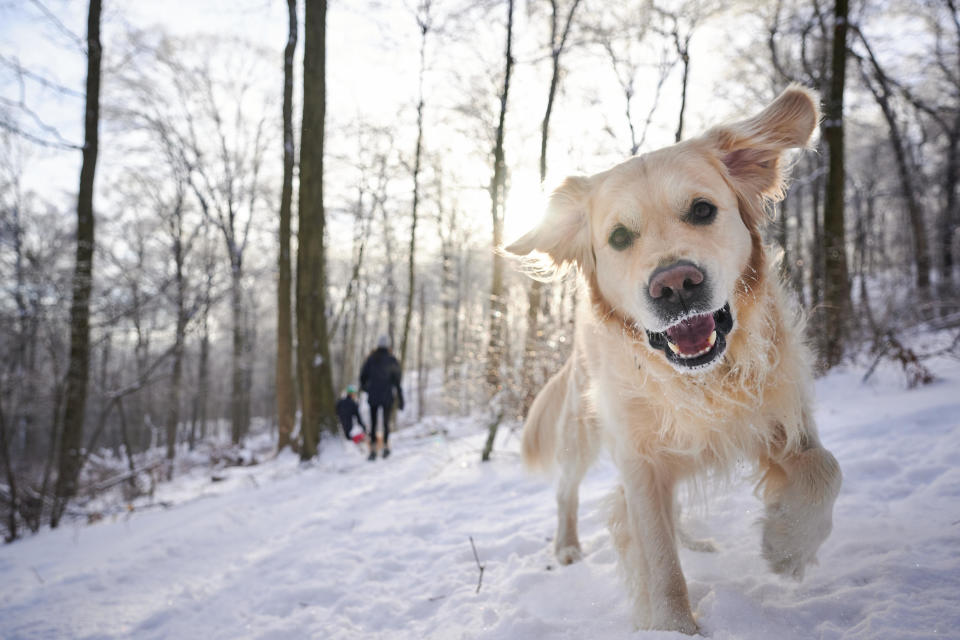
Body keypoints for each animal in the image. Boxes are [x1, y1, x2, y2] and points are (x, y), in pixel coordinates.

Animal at [506, 86, 844, 636]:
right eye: (619, 238)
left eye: (703, 210)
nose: (675, 284)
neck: (701, 381)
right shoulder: (639, 460)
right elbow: (659, 558)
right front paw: (673, 625)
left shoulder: (785, 414)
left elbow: (824, 469)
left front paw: (787, 545)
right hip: (581, 427)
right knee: (566, 490)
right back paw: (568, 546)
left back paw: (698, 541)